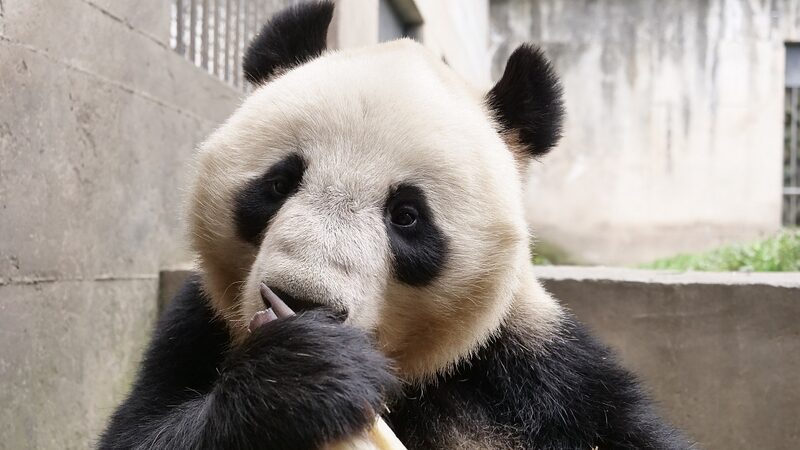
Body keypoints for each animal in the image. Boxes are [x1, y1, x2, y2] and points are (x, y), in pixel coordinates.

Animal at [99, 2, 691, 449]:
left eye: (407, 217)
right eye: (279, 184)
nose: (303, 302)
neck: (400, 378)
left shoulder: (539, 372)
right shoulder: (197, 327)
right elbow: (138, 431)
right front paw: (305, 374)